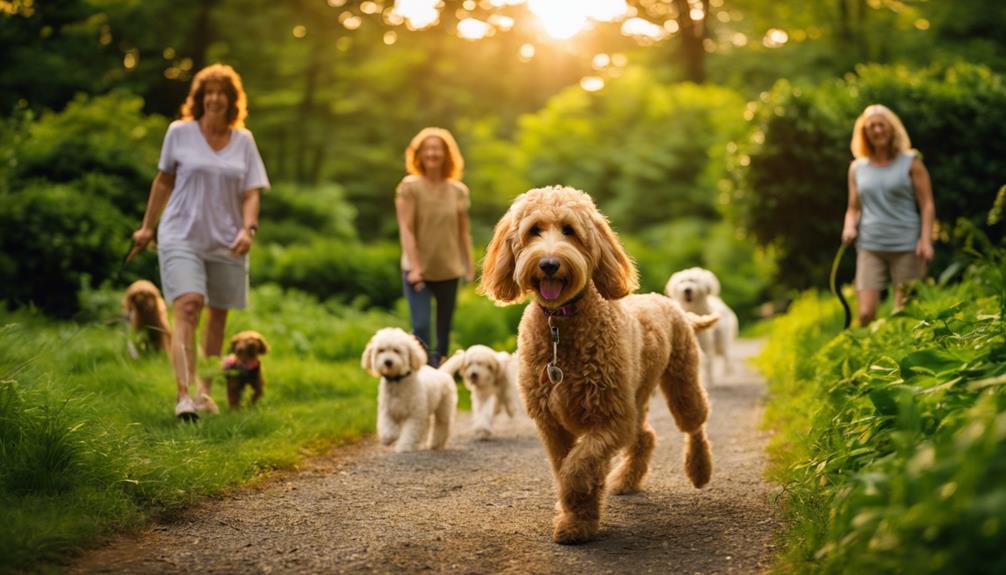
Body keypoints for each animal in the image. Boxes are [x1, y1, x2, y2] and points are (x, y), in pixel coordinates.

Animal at [478, 187, 716, 542]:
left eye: (569, 230)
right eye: (534, 230)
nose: (549, 264)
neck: (561, 323)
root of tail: (669, 303)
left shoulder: (609, 418)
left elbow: (579, 465)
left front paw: (574, 503)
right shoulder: (553, 424)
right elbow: (568, 462)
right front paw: (577, 520)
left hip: (681, 381)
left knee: (694, 425)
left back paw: (699, 470)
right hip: (636, 394)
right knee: (645, 436)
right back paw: (627, 480)